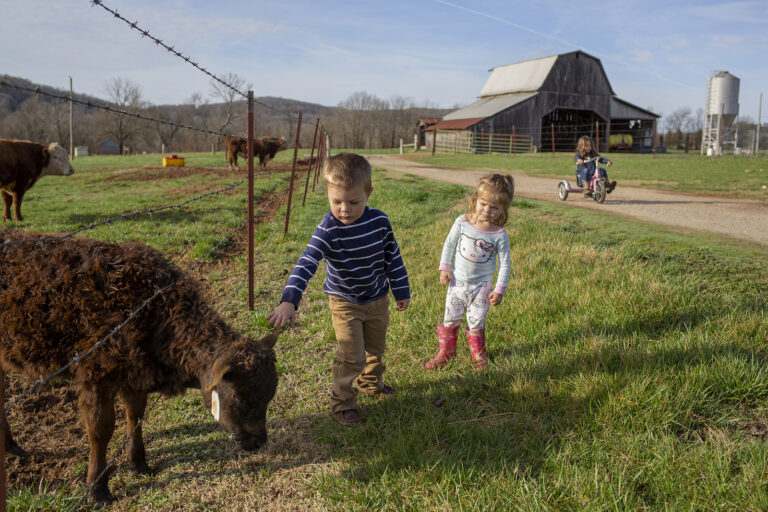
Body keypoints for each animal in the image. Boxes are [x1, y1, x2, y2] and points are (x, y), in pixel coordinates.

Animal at [0, 229, 282, 504]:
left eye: (270, 395)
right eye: (241, 398)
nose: (259, 441)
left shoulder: (135, 376)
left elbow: (135, 416)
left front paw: (138, 463)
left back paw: (10, 444)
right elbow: (100, 430)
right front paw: (97, 488)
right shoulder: (95, 375)